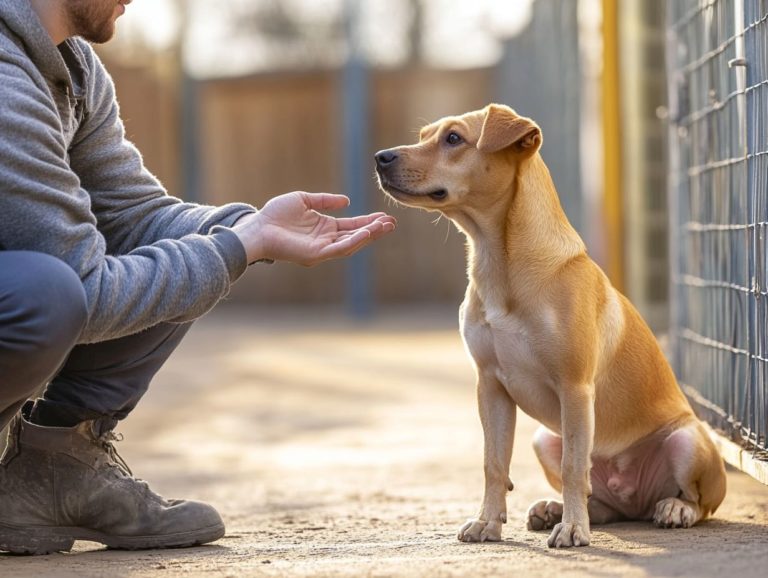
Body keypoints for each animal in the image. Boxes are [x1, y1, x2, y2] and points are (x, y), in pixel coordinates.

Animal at [376, 102, 728, 544]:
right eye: (424, 136)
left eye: (454, 138)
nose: (381, 157)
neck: (500, 262)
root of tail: (636, 500)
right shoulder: (490, 387)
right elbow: (494, 463)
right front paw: (488, 522)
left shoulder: (574, 388)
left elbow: (573, 468)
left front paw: (573, 529)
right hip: (546, 438)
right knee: (603, 502)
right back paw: (554, 509)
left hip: (686, 441)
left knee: (698, 502)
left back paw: (671, 508)